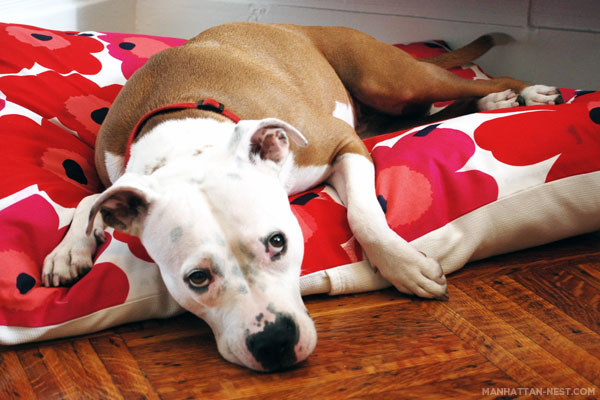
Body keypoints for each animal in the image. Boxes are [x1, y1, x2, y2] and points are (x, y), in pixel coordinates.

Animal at [42, 22, 564, 372]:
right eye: (196, 278)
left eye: (280, 243)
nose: (273, 343)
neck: (186, 132)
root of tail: (300, 26)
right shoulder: (117, 179)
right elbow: (88, 202)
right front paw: (68, 248)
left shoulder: (340, 144)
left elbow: (364, 214)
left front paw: (403, 264)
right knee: (425, 113)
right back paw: (489, 104)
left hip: (388, 78)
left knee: (475, 81)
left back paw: (526, 93)